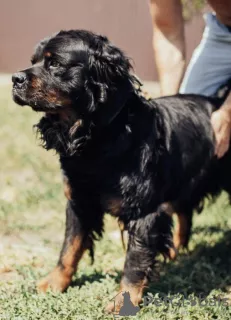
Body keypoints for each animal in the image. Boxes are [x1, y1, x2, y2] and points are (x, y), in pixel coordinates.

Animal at [11, 30, 231, 312]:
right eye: (34, 60)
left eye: (55, 63)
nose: (15, 78)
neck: (99, 141)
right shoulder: (79, 202)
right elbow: (69, 247)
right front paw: (54, 282)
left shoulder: (144, 212)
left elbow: (134, 262)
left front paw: (123, 300)